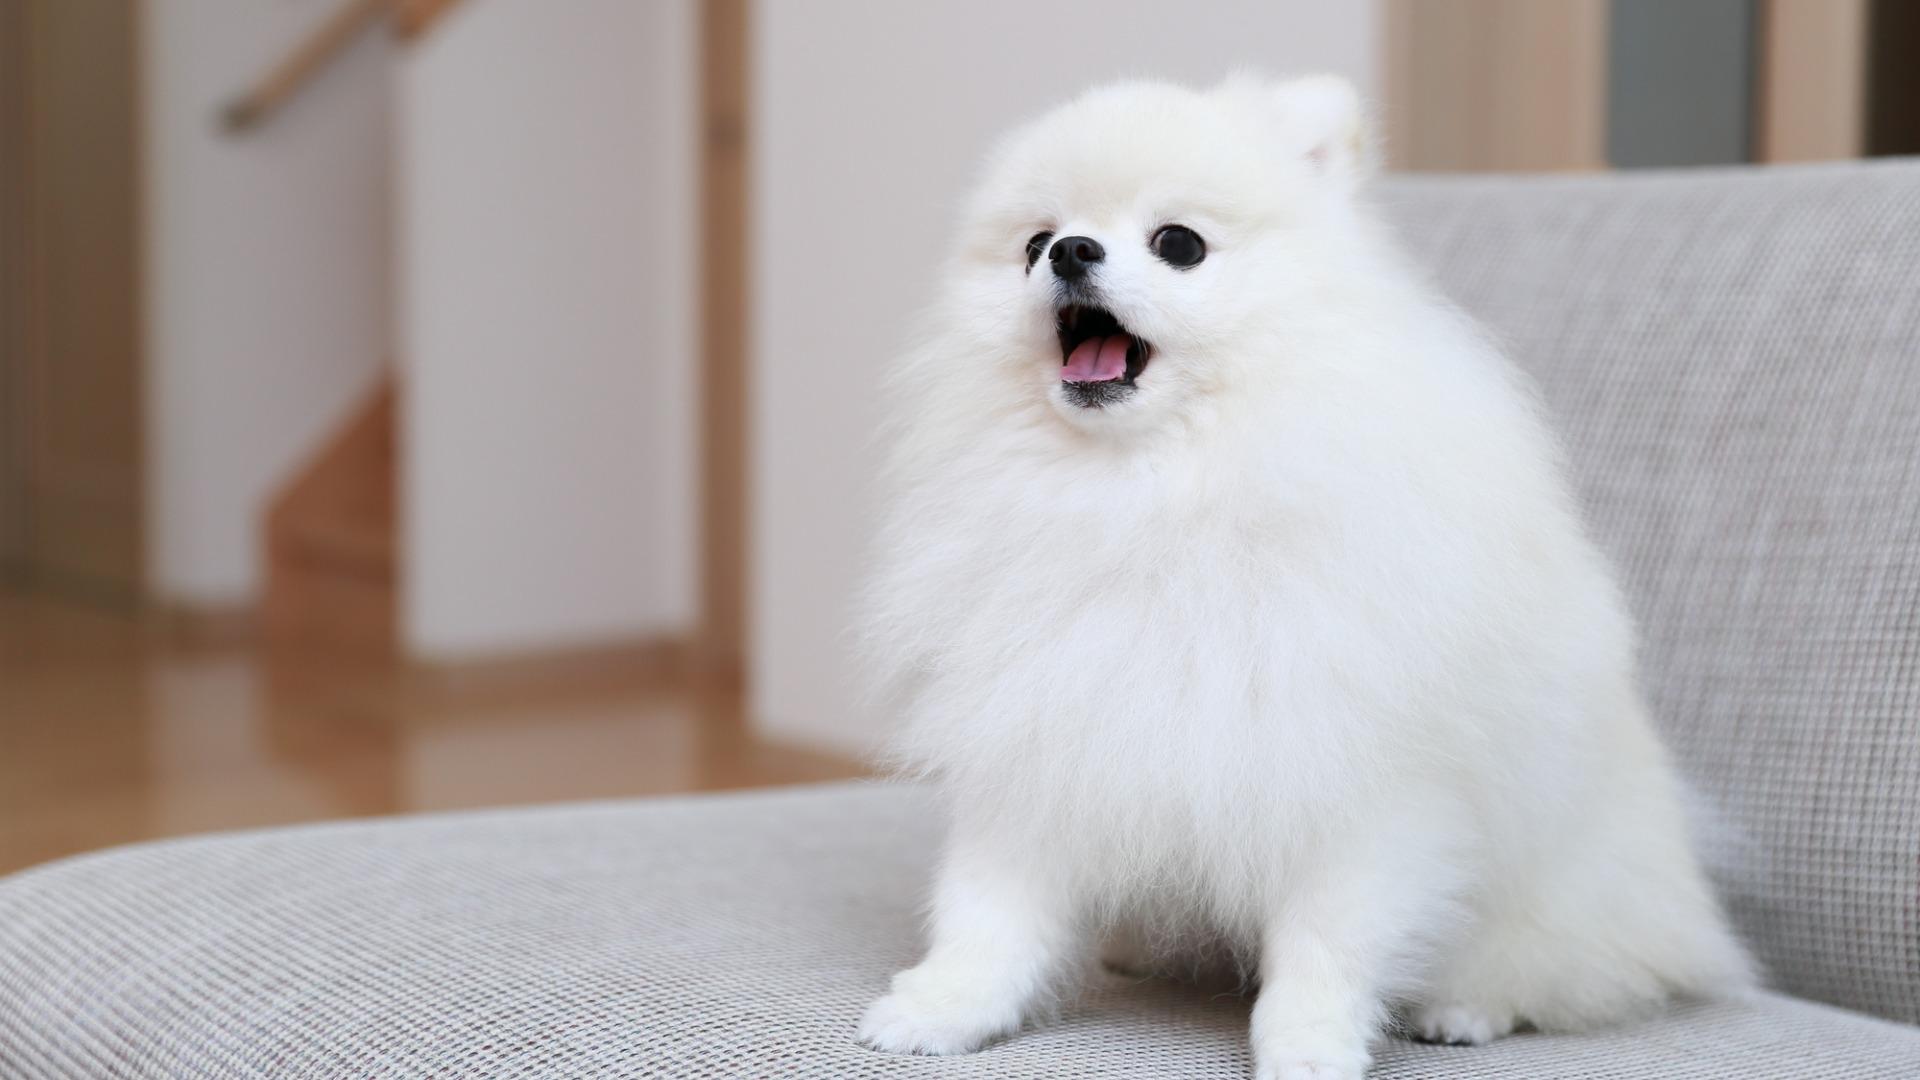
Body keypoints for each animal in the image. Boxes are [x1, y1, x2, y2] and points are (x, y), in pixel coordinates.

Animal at [853, 75, 1754, 1079]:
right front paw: (944, 1006)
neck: (1154, 494)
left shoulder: (1359, 785)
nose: (1072, 251)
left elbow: (1329, 944)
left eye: (1178, 244)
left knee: (1555, 965)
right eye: (1032, 242)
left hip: (1560, 886)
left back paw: (1461, 1007)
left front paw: (1308, 1047)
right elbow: (989, 910)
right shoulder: (1043, 734)